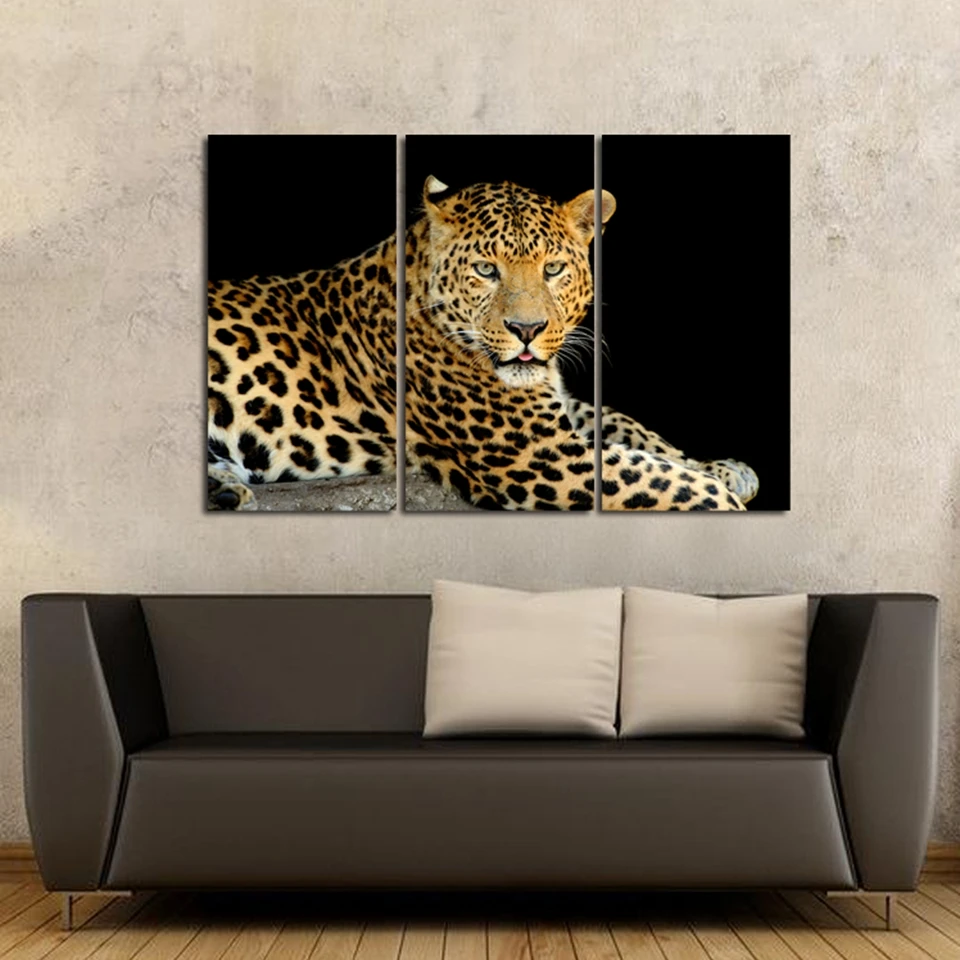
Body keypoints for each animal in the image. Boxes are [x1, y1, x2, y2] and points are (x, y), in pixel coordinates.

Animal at [207, 176, 758, 511]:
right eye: (486, 269)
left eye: (552, 268)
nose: (527, 330)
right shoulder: (541, 453)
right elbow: (661, 481)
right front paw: (721, 494)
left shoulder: (554, 411)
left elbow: (628, 427)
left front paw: (723, 468)